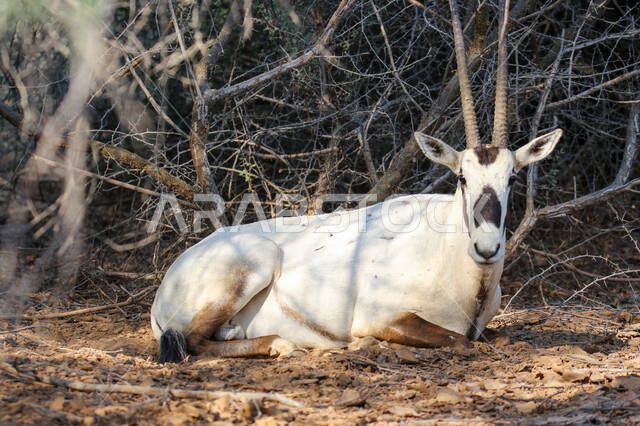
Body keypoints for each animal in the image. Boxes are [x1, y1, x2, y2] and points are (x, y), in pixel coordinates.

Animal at [151, 0, 562, 363]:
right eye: (461, 177)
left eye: (512, 178)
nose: (486, 247)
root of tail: (163, 289)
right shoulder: (382, 317)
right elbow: (458, 339)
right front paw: (369, 344)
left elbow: (501, 336)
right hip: (255, 262)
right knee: (192, 341)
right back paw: (282, 345)